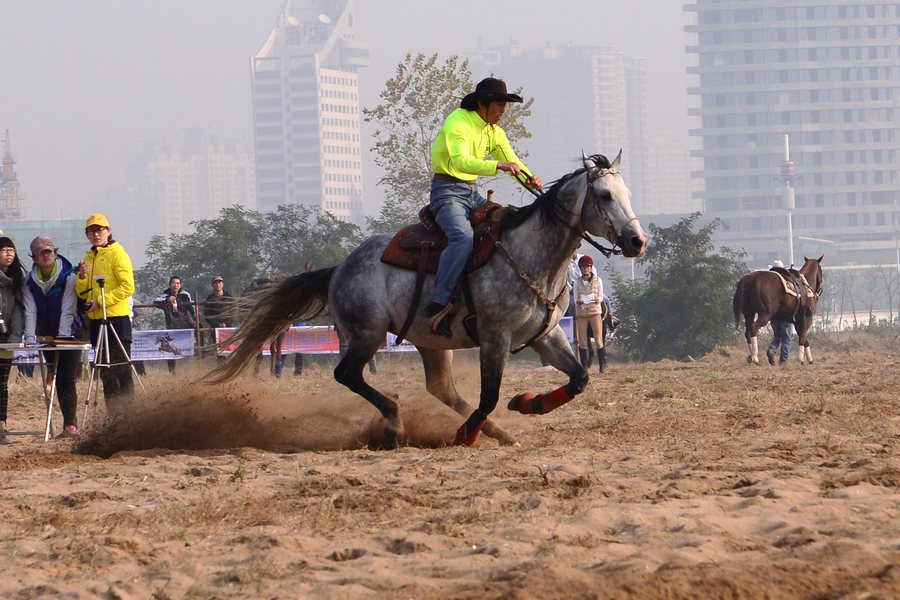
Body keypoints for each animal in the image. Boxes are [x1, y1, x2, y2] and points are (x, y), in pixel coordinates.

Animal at [207, 152, 648, 448]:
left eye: (627, 192)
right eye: (604, 195)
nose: (636, 241)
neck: (528, 257)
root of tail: (340, 267)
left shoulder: (546, 334)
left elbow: (579, 378)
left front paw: (528, 404)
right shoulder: (495, 336)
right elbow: (490, 394)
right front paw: (470, 431)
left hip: (432, 341)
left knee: (441, 388)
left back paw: (497, 432)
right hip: (367, 334)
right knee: (347, 375)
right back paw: (396, 424)